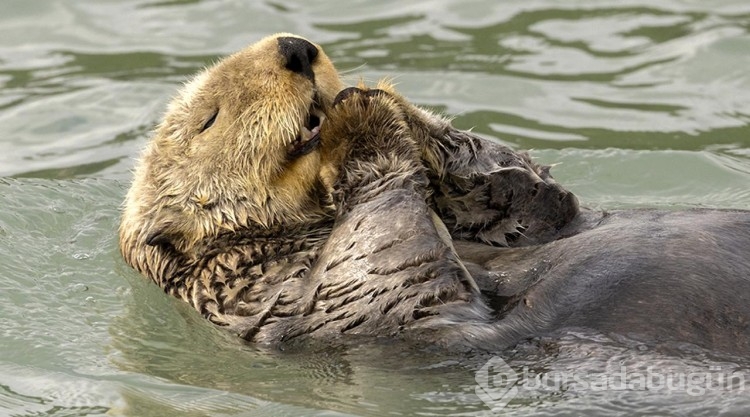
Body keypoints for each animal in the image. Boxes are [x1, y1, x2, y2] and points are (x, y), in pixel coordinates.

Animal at [117, 32, 750, 352]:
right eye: (208, 119)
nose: (295, 48)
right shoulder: (263, 294)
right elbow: (384, 269)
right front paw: (362, 123)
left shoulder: (532, 217)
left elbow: (537, 201)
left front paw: (380, 98)